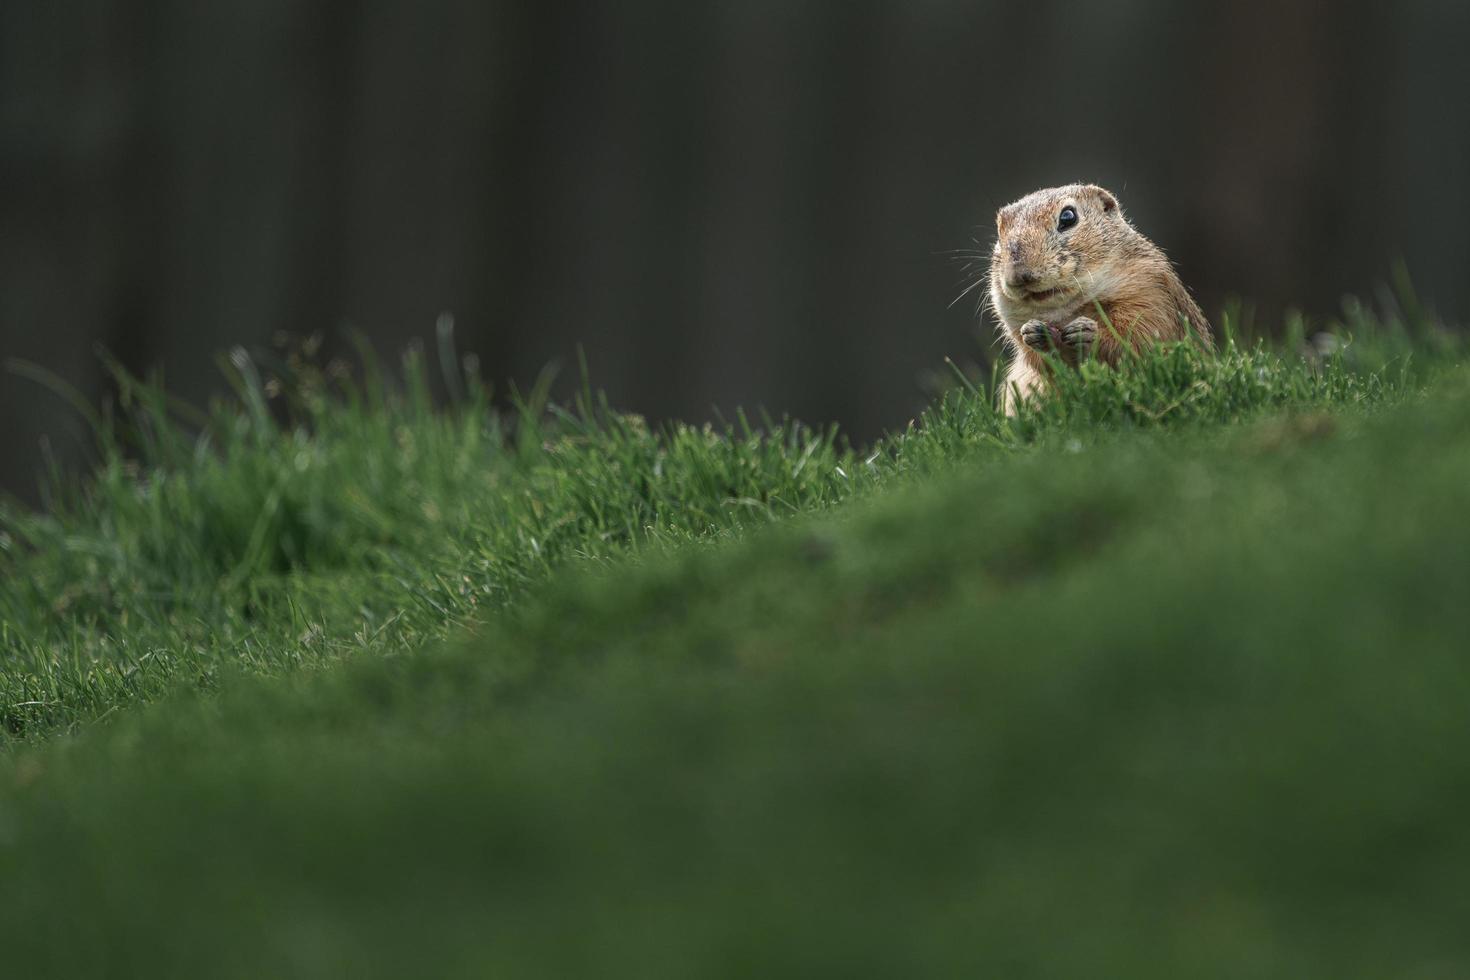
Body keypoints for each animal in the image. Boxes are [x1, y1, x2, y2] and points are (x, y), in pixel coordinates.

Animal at [987, 183, 1205, 414]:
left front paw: (1088, 333)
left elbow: (1138, 341)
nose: (1018, 275)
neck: (1066, 310)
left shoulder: (1150, 294)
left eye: (1068, 217)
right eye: (1000, 231)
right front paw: (1035, 333)